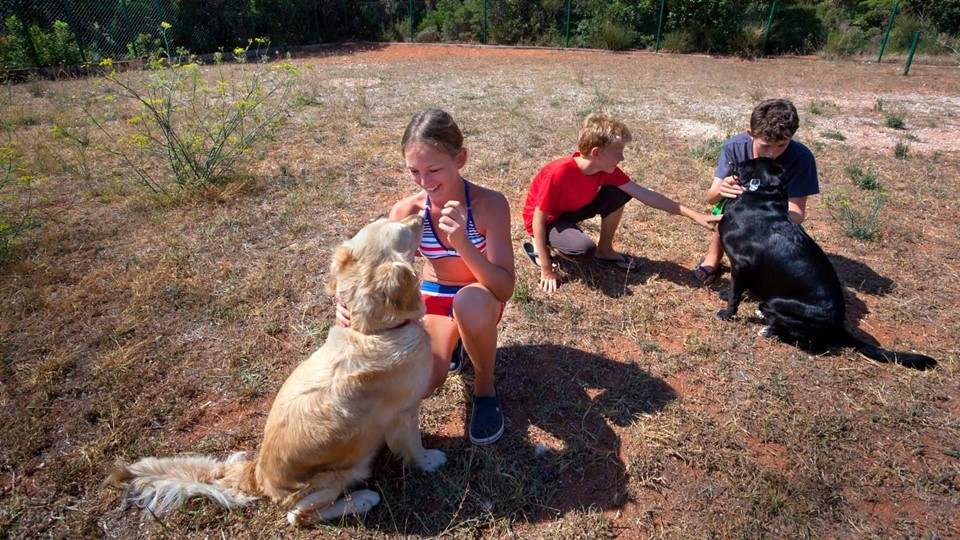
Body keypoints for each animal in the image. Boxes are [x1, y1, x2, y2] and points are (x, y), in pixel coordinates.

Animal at [716, 157, 932, 372]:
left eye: (746, 162)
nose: (732, 161)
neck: (760, 193)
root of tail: (839, 329)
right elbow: (736, 289)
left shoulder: (741, 264)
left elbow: (735, 295)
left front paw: (726, 314)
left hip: (779, 302)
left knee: (807, 341)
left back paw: (769, 329)